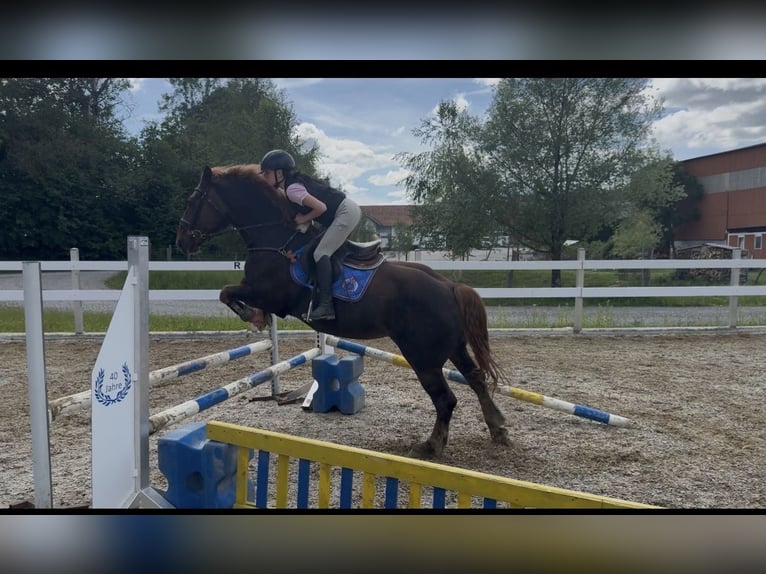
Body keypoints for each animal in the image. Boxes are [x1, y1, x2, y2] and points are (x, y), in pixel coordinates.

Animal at [175, 164, 510, 458]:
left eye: (193, 201)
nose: (182, 242)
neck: (275, 240)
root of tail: (449, 286)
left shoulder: (268, 294)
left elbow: (227, 292)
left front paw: (251, 315)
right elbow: (228, 293)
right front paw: (255, 317)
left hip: (422, 356)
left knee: (445, 399)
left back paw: (430, 446)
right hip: (453, 347)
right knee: (476, 379)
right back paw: (497, 429)